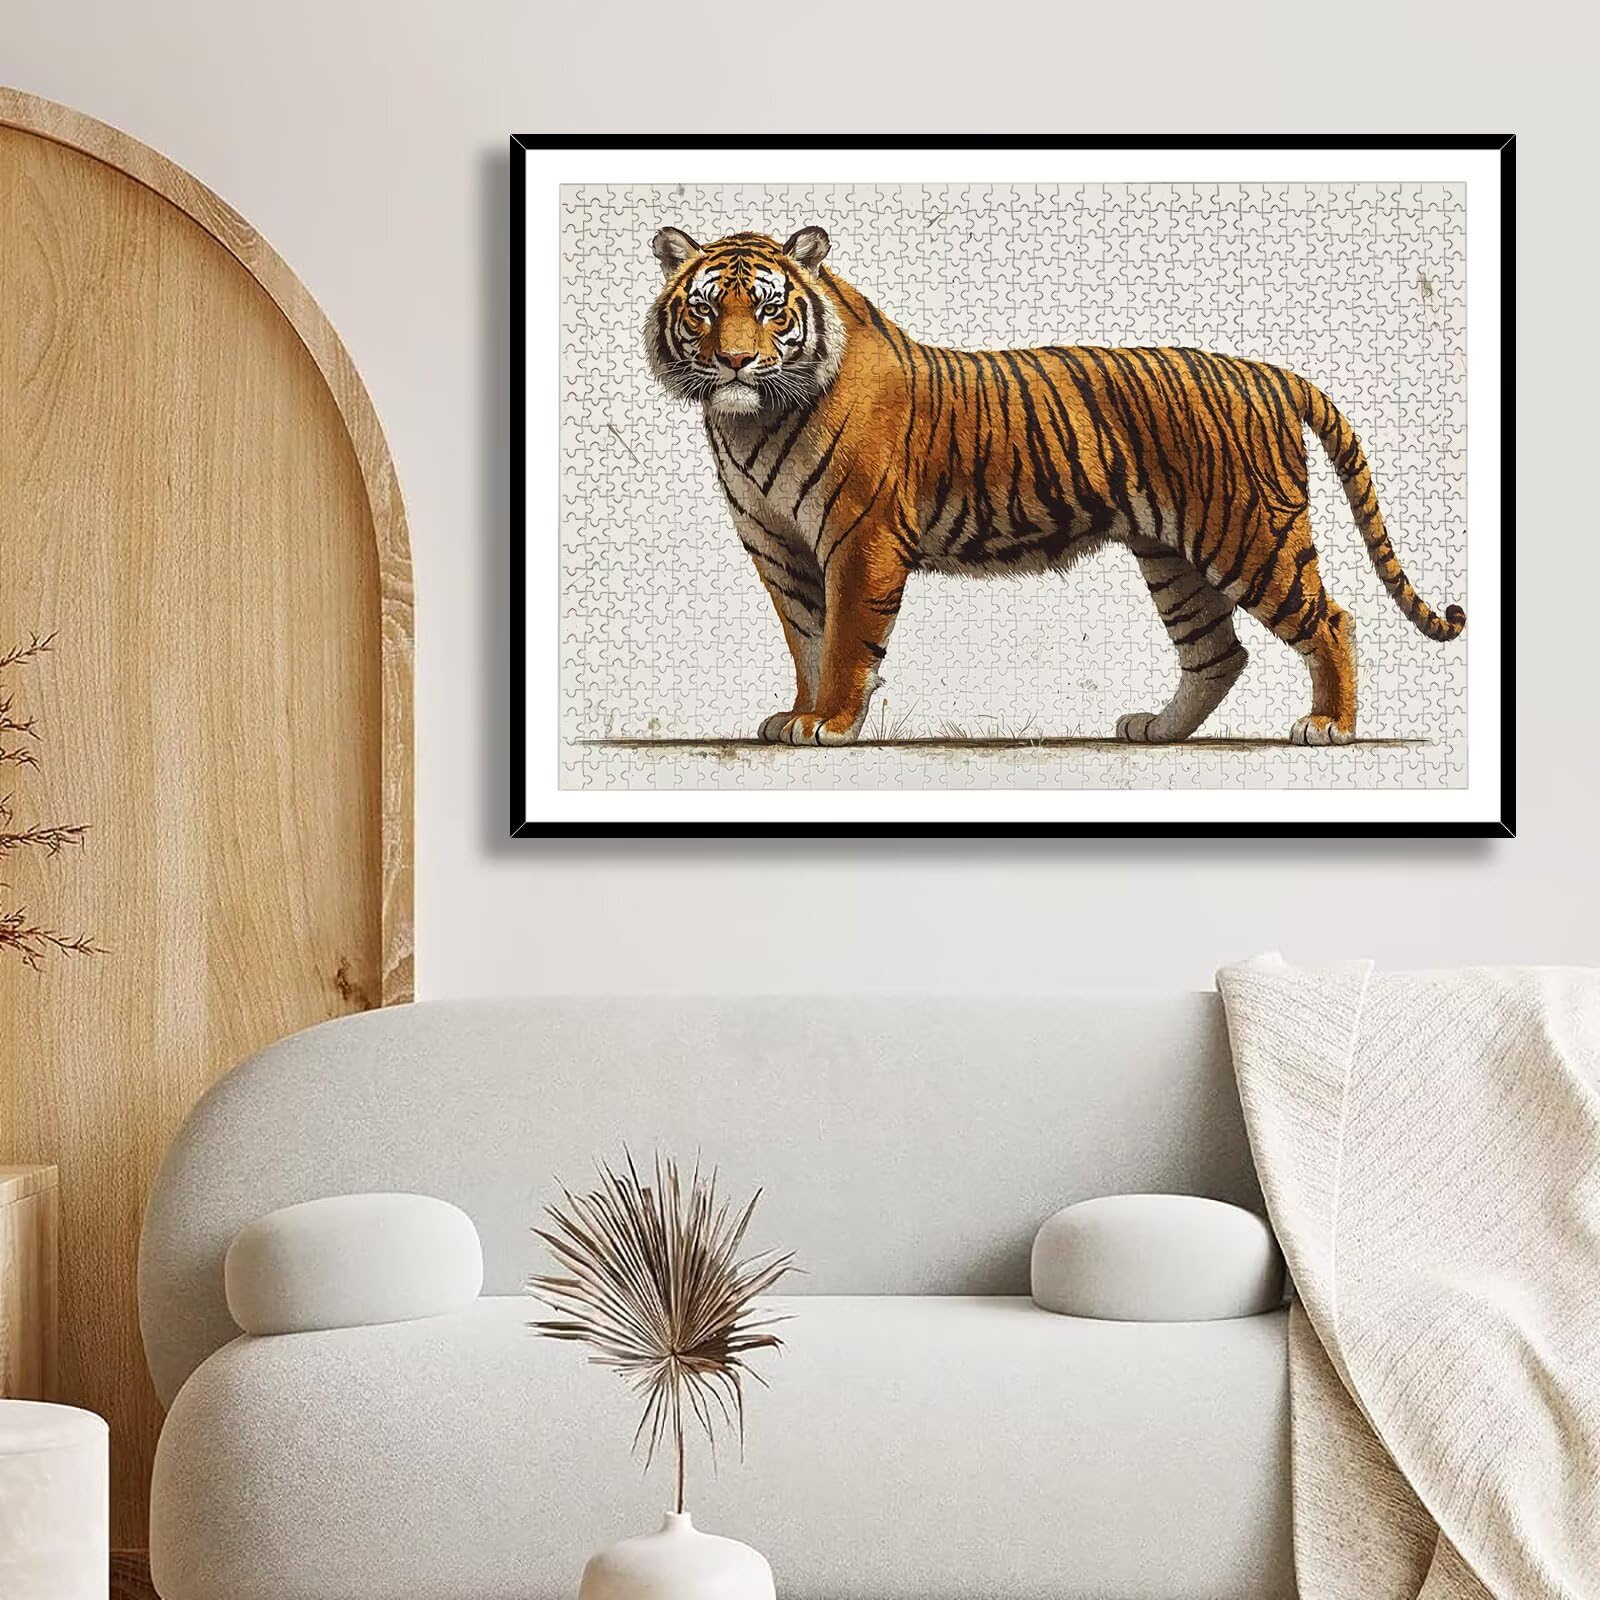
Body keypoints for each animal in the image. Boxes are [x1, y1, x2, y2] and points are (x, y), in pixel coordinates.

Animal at [645, 224, 1465, 747]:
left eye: (770, 308)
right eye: (705, 307)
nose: (736, 362)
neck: (752, 423)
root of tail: (1269, 372)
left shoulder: (860, 538)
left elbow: (846, 639)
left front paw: (834, 724)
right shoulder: (777, 546)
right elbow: (806, 639)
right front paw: (799, 715)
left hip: (1251, 535)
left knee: (1331, 621)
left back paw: (1331, 727)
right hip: (1174, 557)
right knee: (1217, 653)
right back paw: (1156, 731)